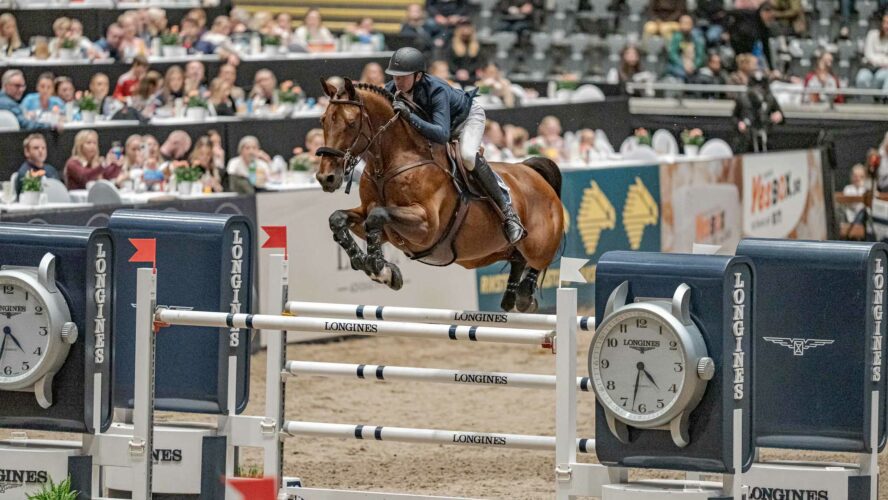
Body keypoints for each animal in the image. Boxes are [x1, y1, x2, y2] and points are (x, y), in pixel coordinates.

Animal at [314, 77, 560, 312]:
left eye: (351, 123)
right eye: (323, 120)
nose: (326, 177)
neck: (390, 164)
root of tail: (532, 172)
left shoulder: (426, 226)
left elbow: (377, 216)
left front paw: (380, 269)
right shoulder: (374, 219)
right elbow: (339, 218)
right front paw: (372, 265)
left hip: (539, 244)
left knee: (541, 259)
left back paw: (525, 291)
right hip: (492, 252)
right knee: (517, 258)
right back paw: (513, 296)